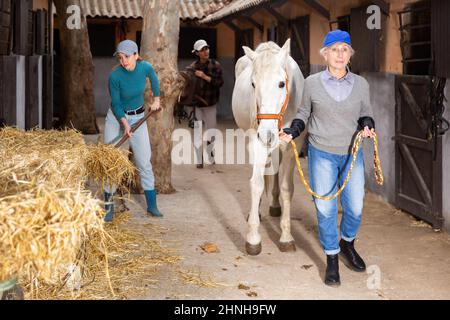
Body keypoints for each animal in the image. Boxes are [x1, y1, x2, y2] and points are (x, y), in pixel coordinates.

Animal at [232, 39, 306, 255]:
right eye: (253, 84)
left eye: (281, 83)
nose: (266, 133)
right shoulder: (257, 143)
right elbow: (256, 184)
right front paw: (253, 238)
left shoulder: (291, 146)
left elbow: (287, 188)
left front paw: (286, 237)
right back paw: (256, 212)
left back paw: (274, 205)